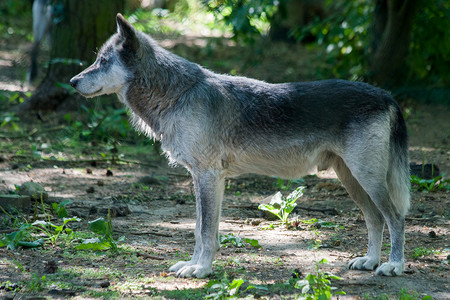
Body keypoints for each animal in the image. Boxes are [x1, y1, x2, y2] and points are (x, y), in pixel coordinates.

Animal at [70, 12, 412, 278]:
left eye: (102, 61)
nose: (72, 82)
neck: (178, 95)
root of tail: (387, 95)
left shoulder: (208, 176)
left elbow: (205, 231)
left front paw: (201, 271)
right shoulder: (202, 178)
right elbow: (200, 229)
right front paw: (193, 265)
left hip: (366, 178)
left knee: (395, 217)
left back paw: (393, 266)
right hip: (352, 180)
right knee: (375, 218)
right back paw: (369, 261)